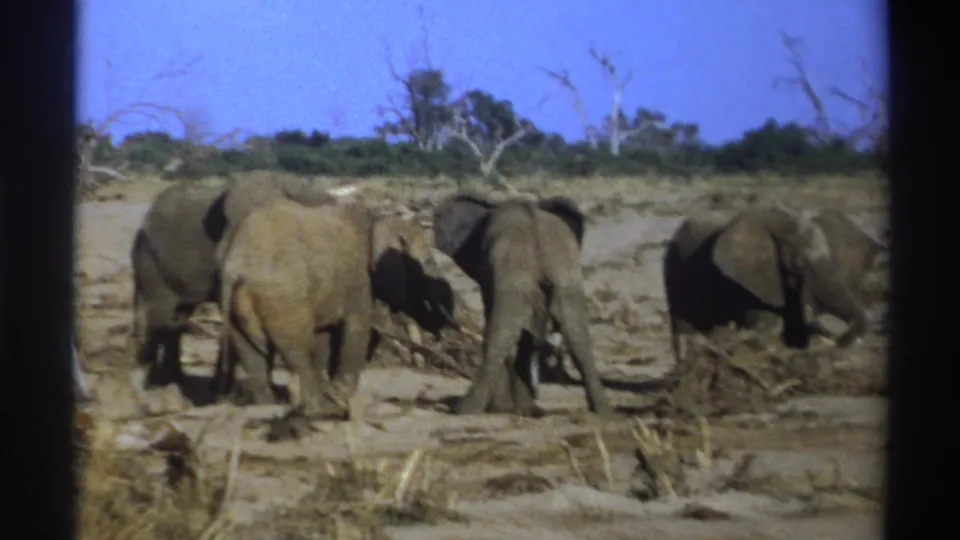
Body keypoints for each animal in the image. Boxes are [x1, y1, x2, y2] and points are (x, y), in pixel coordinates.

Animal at [215, 200, 453, 416]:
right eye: (429, 262)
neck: (375, 219)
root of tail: (235, 265)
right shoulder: (358, 278)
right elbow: (357, 326)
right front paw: (342, 395)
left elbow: (325, 335)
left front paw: (334, 393)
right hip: (284, 299)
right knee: (300, 352)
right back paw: (318, 408)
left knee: (252, 355)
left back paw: (268, 405)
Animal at [432, 190, 612, 417]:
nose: (456, 409)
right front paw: (521, 409)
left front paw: (505, 409)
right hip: (567, 283)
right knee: (578, 338)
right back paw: (603, 411)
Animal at [663, 204, 870, 364]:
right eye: (799, 265)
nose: (836, 341)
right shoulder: (749, 283)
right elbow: (766, 328)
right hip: (674, 272)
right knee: (683, 329)